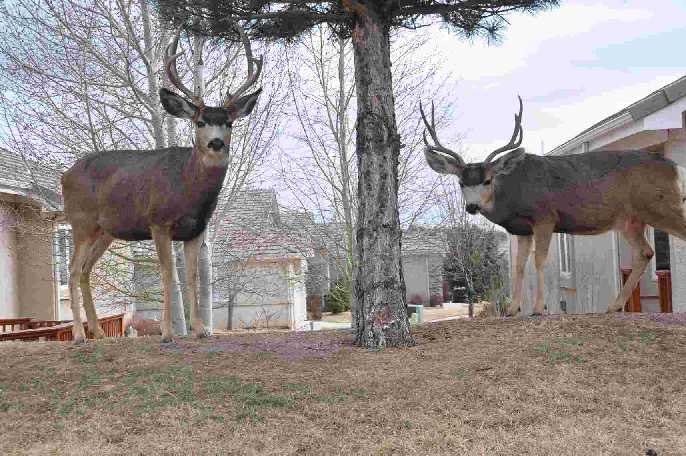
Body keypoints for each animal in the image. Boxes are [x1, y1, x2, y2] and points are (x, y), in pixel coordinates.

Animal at [62, 25, 264, 342]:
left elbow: (192, 276)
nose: (216, 143)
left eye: (229, 123)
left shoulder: (196, 229)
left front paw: (200, 330)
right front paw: (168, 332)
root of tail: (65, 175)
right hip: (80, 221)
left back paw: (99, 332)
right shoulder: (158, 221)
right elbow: (168, 274)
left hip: (104, 230)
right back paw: (80, 336)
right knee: (71, 270)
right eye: (200, 122)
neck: (187, 189)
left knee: (85, 270)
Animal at [422, 96, 686, 318]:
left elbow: (540, 260)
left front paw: (538, 309)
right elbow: (519, 266)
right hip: (630, 220)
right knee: (645, 252)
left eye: (488, 180)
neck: (512, 195)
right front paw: (512, 309)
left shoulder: (545, 217)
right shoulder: (521, 229)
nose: (472, 206)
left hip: (663, 206)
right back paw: (613, 306)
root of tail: (675, 168)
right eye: (461, 182)